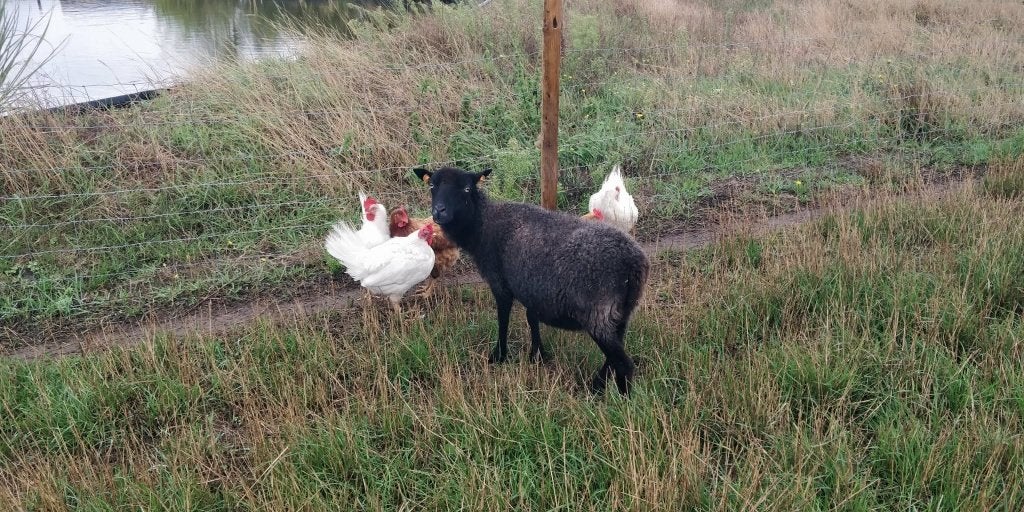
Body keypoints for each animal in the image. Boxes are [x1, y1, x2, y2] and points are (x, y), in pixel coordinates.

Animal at [413, 166, 650, 394]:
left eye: (466, 189)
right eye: (432, 185)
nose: (439, 212)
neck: (482, 224)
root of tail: (633, 264)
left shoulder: (500, 283)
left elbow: (503, 320)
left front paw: (499, 356)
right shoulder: (532, 288)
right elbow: (531, 318)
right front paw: (537, 356)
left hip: (598, 313)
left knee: (623, 363)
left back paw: (619, 398)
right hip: (621, 312)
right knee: (614, 356)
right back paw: (597, 386)